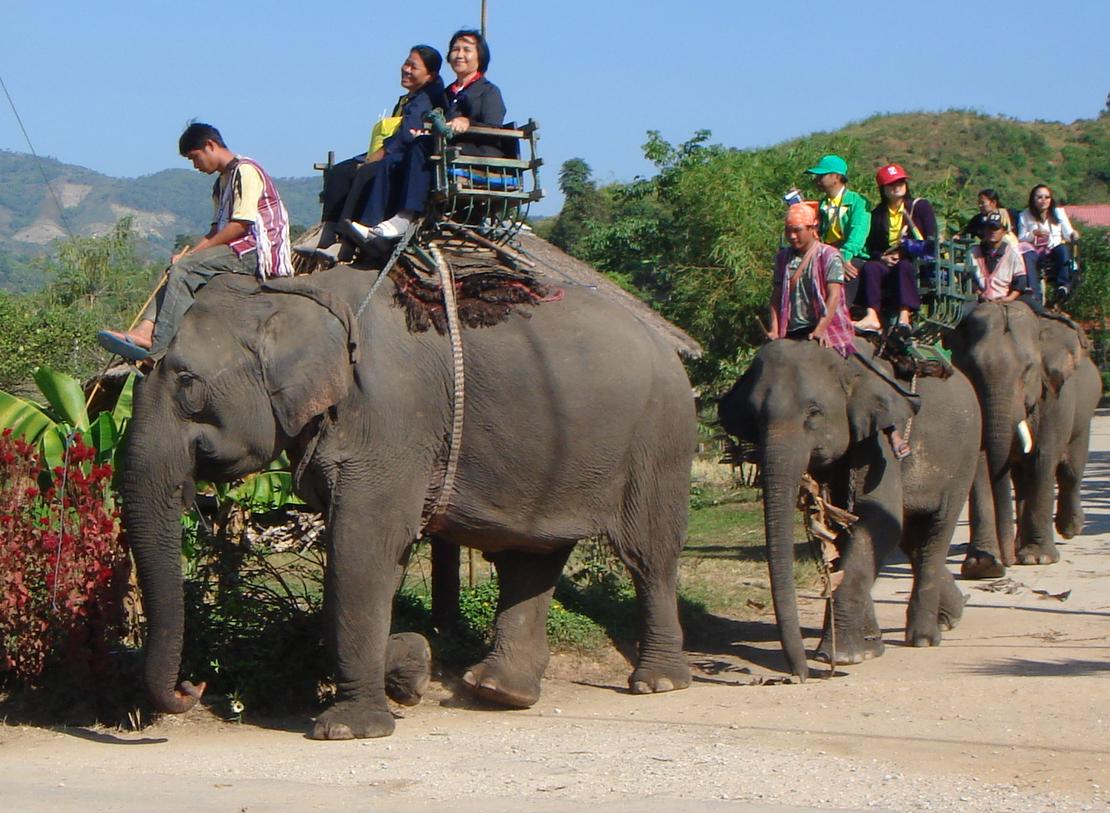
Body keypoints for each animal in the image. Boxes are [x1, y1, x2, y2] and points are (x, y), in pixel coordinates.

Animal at [121, 264, 697, 739]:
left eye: (188, 384)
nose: (192, 688)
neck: (297, 291)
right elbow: (365, 560)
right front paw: (413, 666)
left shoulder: (391, 418)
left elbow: (362, 547)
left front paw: (350, 728)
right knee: (530, 556)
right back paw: (497, 691)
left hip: (662, 436)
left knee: (648, 553)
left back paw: (657, 684)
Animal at [718, 337, 980, 679]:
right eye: (753, 417)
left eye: (814, 412)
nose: (801, 675)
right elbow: (845, 527)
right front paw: (866, 648)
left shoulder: (880, 440)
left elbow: (876, 519)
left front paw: (842, 656)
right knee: (912, 537)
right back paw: (950, 616)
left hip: (965, 455)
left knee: (936, 531)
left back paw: (923, 638)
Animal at [947, 302, 1100, 577]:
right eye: (971, 369)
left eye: (1028, 369)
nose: (1006, 562)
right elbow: (980, 467)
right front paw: (983, 566)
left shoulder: (1054, 398)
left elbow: (1043, 458)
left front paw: (1037, 559)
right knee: (1022, 480)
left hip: (1085, 413)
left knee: (1070, 470)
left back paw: (1069, 529)